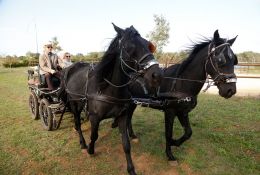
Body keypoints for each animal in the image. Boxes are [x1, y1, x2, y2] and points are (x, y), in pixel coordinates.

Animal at [60, 23, 161, 175]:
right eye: (129, 47)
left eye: (147, 44)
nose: (157, 74)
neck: (107, 89)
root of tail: (69, 68)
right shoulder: (94, 117)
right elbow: (94, 136)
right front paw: (90, 150)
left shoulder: (122, 115)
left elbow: (126, 144)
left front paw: (131, 169)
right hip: (74, 103)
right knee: (77, 121)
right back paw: (82, 143)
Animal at [124, 29, 238, 164]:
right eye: (220, 59)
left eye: (234, 60)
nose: (230, 90)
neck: (181, 82)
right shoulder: (170, 111)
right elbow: (168, 133)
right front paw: (170, 155)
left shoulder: (183, 112)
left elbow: (188, 132)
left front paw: (175, 143)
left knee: (129, 117)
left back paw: (133, 136)